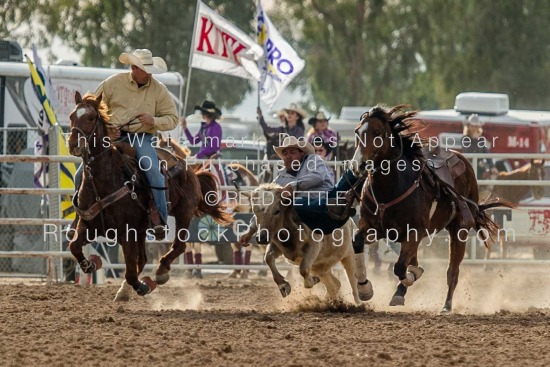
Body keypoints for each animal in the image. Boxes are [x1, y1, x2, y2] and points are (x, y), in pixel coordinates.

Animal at [68, 92, 234, 302]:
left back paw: (161, 272)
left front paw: (143, 286)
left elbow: (131, 271)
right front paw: (90, 264)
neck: (102, 182)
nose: (73, 144)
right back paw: (125, 290)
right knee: (144, 259)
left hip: (183, 213)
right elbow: (74, 246)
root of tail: (190, 169)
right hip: (141, 230)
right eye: (72, 116)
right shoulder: (88, 225)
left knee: (178, 246)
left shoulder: (127, 232)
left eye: (90, 117)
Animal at [352, 104, 516, 314]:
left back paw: (446, 305)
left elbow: (400, 268)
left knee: (452, 271)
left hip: (459, 231)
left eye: (378, 132)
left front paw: (410, 278)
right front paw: (364, 289)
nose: (359, 165)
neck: (391, 187)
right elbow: (358, 243)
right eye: (357, 132)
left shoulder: (413, 232)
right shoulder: (373, 228)